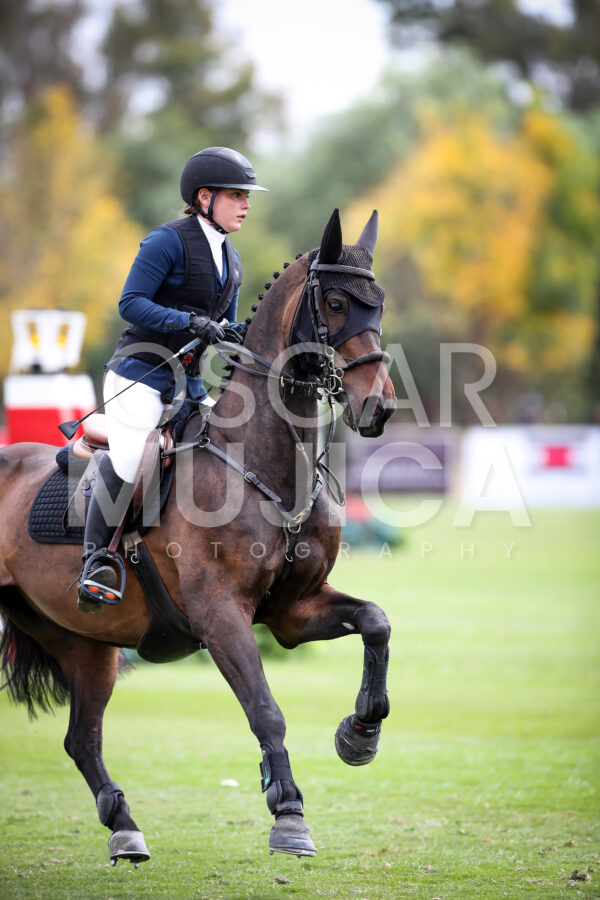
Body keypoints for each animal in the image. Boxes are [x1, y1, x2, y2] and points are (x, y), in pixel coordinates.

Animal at [0, 208, 396, 866]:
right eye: (337, 303)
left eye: (380, 302)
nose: (378, 408)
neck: (260, 464)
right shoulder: (220, 615)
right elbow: (266, 710)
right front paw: (289, 813)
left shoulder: (293, 612)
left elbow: (376, 622)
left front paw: (360, 733)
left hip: (83, 641)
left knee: (82, 738)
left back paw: (125, 828)